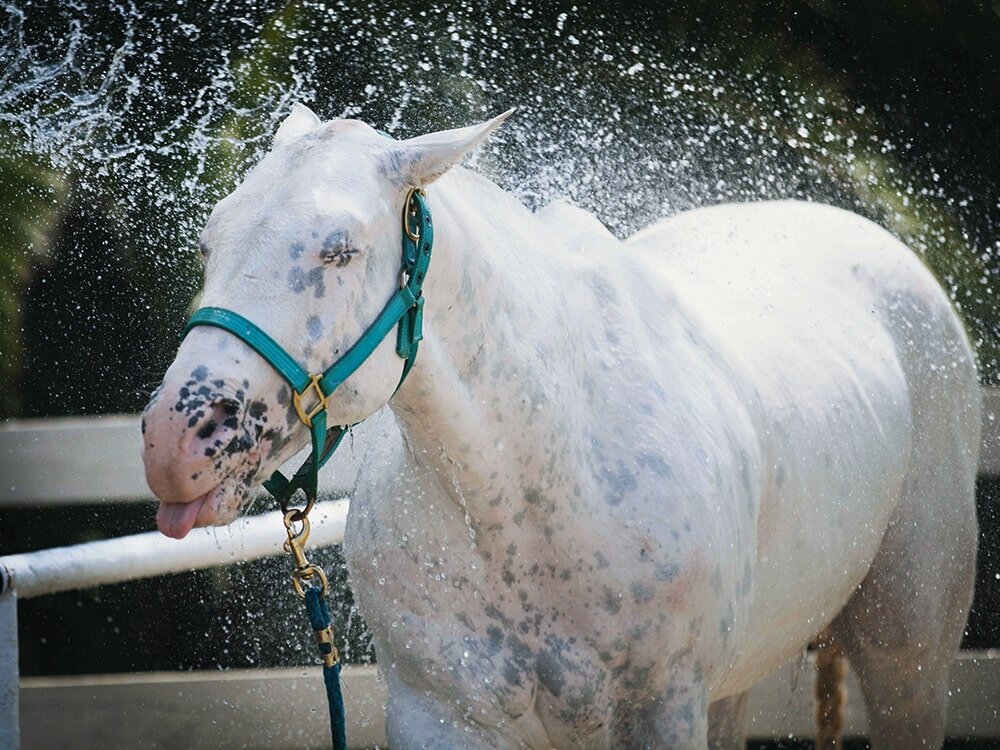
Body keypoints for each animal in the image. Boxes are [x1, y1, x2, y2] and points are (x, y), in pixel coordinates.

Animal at [141, 104, 980, 749]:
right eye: (211, 241)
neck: (526, 490)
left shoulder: (660, 711)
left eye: (339, 251)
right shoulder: (441, 717)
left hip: (908, 657)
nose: (175, 443)